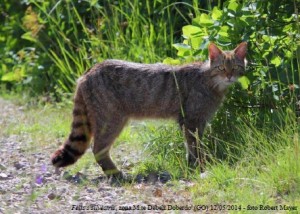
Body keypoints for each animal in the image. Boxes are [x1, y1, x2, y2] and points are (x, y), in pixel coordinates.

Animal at [51, 41, 247, 179]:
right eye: (221, 67)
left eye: (236, 67)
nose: (229, 76)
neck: (209, 82)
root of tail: (89, 71)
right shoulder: (191, 120)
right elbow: (195, 147)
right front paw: (200, 167)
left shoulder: (198, 122)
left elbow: (191, 147)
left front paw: (193, 166)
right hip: (111, 119)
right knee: (97, 148)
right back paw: (115, 173)